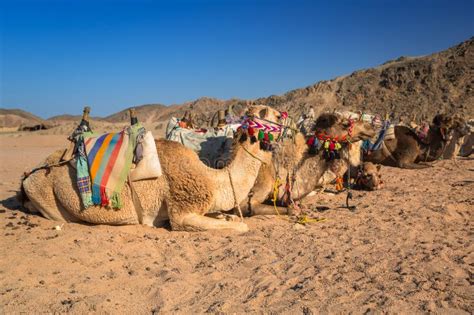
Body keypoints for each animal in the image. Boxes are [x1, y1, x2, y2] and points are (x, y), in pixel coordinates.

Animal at [20, 130, 272, 233]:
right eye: (273, 116)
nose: (281, 117)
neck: (213, 177)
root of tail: (27, 176)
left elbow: (228, 218)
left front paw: (228, 215)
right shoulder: (182, 209)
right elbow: (241, 226)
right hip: (45, 194)